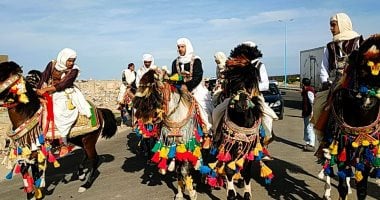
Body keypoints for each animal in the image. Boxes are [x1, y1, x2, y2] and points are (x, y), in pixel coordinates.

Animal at [0, 61, 117, 199]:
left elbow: (30, 171)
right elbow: (29, 171)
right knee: (86, 154)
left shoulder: (35, 150)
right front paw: (34, 194)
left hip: (89, 140)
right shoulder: (29, 151)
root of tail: (98, 110)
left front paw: (34, 193)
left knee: (94, 158)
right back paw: (81, 173)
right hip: (79, 139)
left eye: (2, 75)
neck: (28, 115)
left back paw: (85, 184)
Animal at [132, 69, 206, 200]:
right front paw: (180, 193)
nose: (135, 105)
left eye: (148, 88)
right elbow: (178, 171)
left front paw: (192, 193)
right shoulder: (174, 146)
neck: (176, 115)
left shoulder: (186, 144)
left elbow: (183, 171)